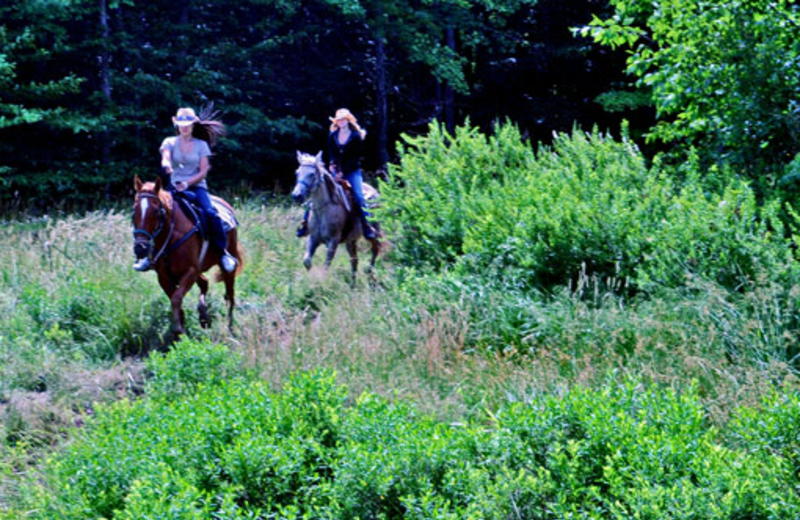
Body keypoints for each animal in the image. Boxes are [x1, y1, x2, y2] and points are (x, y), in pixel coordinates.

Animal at [133, 177, 244, 336]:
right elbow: (175, 300)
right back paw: (204, 316)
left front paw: (179, 329)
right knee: (205, 283)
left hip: (227, 266)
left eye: (156, 211)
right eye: (134, 210)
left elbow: (176, 298)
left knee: (229, 296)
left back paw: (229, 327)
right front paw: (181, 329)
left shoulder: (190, 271)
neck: (173, 233)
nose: (140, 248)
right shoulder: (164, 277)